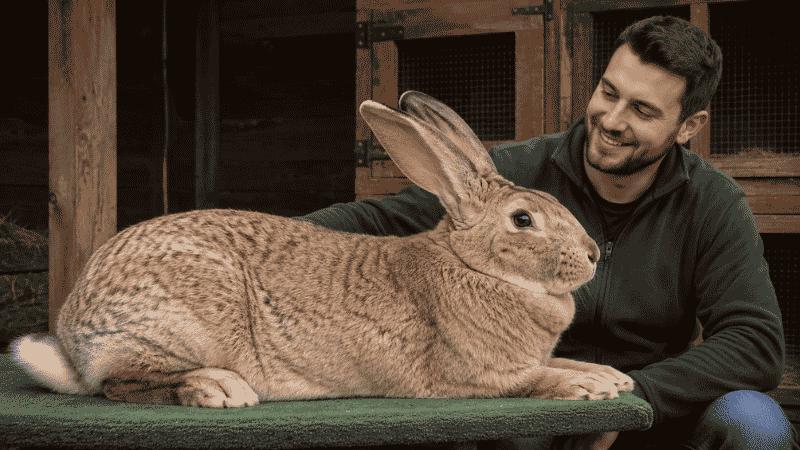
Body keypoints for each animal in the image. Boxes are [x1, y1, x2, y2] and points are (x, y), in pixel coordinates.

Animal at [11, 91, 634, 408]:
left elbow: (559, 358)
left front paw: (611, 377)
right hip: (176, 324)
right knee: (121, 383)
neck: (473, 265)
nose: (591, 254)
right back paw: (220, 388)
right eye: (523, 219)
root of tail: (71, 338)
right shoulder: (472, 378)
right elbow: (537, 378)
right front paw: (588, 386)